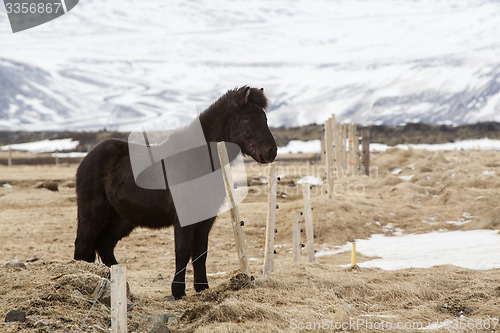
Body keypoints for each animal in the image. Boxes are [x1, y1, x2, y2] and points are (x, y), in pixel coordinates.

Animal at [74, 85, 278, 298]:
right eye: (248, 118)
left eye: (264, 117)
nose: (271, 152)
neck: (198, 160)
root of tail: (88, 157)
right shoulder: (183, 219)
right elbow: (183, 252)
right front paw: (178, 291)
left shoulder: (206, 220)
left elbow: (201, 253)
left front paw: (202, 287)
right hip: (93, 213)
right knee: (83, 246)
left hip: (122, 219)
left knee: (104, 246)